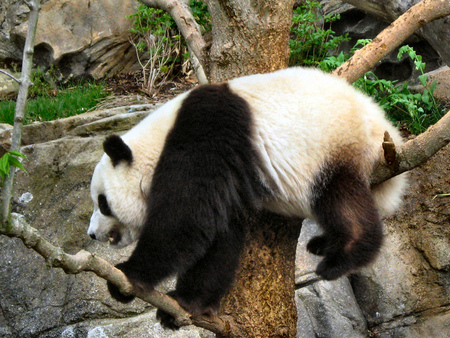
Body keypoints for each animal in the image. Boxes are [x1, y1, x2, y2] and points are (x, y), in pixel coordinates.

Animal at [86, 67, 406, 328]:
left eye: (102, 202)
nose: (91, 234)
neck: (156, 140)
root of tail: (383, 124)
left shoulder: (203, 131)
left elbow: (185, 220)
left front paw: (128, 276)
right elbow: (218, 231)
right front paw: (188, 302)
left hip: (334, 146)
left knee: (339, 199)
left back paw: (345, 254)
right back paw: (322, 243)